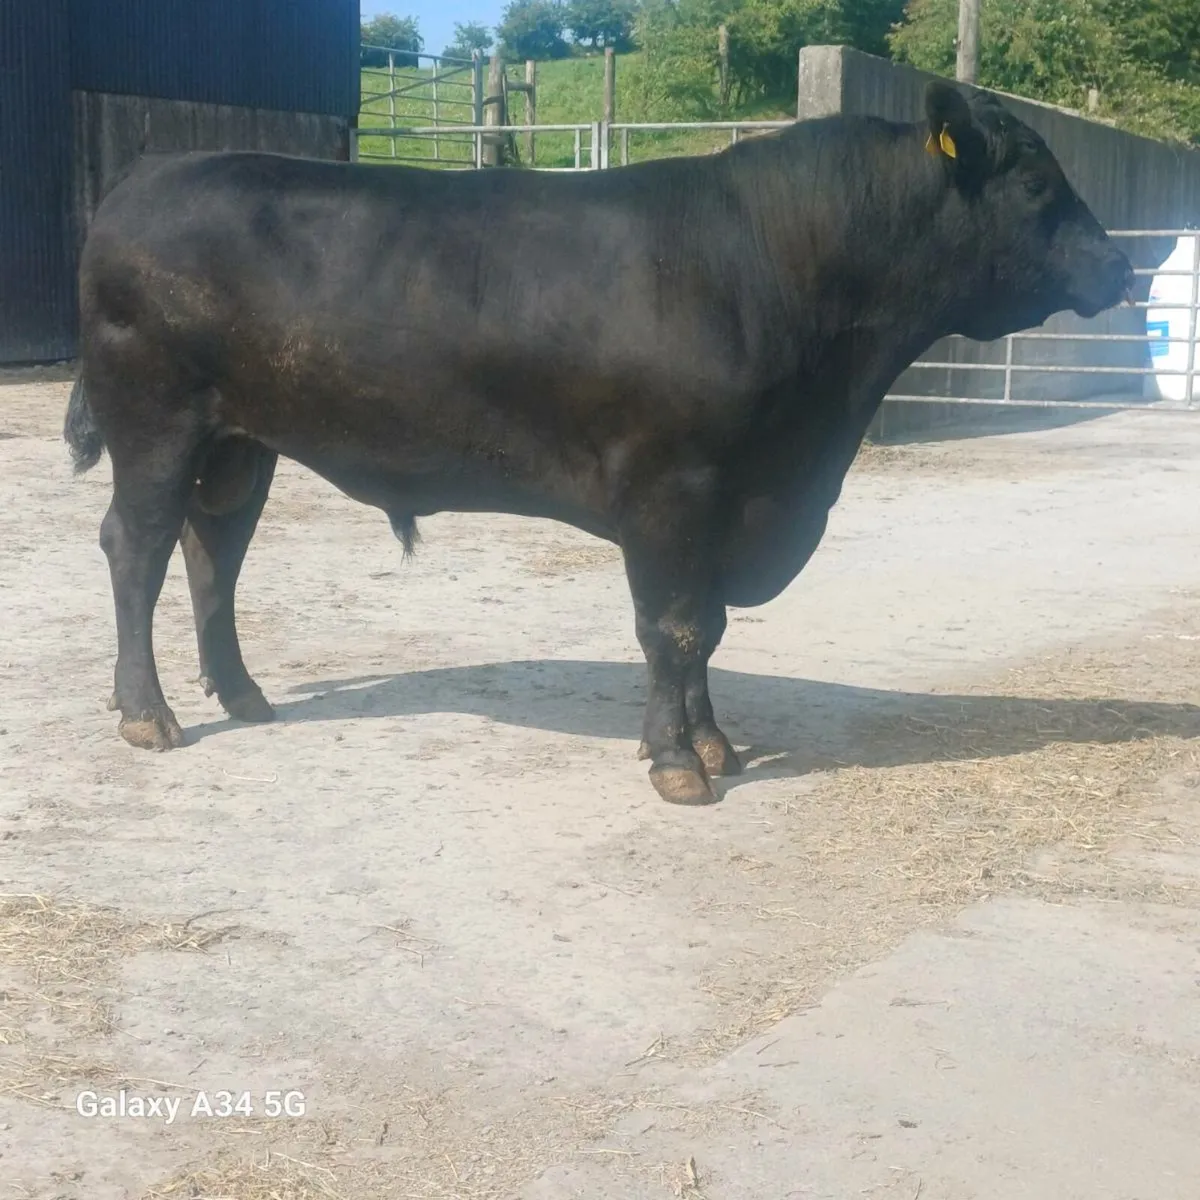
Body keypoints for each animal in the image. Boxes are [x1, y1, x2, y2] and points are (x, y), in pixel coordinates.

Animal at [64, 81, 1133, 806]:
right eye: (1035, 180)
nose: (1120, 266)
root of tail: (150, 174)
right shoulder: (672, 488)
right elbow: (676, 627)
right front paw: (678, 762)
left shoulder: (725, 503)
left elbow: (709, 626)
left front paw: (714, 744)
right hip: (156, 419)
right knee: (137, 548)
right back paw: (148, 713)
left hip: (241, 441)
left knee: (214, 550)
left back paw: (243, 695)